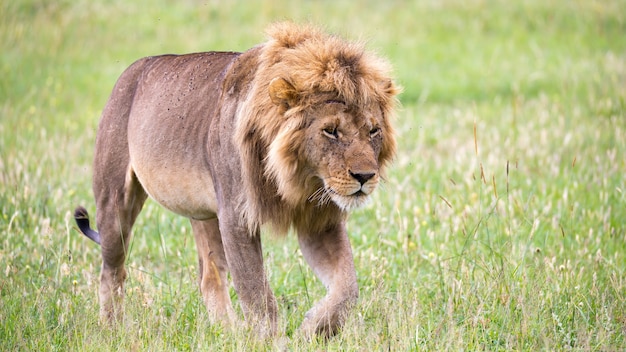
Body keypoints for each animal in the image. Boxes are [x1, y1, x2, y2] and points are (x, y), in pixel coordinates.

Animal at [73, 22, 394, 338]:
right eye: (330, 131)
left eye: (373, 131)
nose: (365, 176)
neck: (299, 179)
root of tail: (132, 71)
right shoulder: (236, 216)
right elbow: (256, 293)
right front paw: (271, 341)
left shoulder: (319, 221)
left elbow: (347, 287)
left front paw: (315, 328)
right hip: (115, 201)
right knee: (112, 270)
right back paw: (112, 328)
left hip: (204, 214)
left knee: (209, 275)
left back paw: (227, 332)